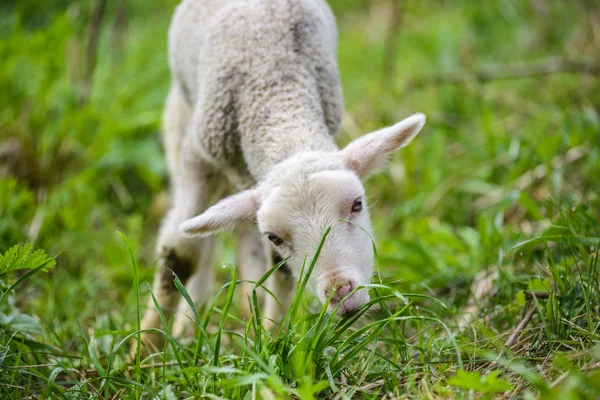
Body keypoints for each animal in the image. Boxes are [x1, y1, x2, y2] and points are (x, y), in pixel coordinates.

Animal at [138, 0, 424, 350]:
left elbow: (280, 270)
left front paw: (272, 336)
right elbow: (180, 255)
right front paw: (145, 347)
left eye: (358, 204)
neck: (275, 87)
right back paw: (188, 326)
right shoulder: (197, 157)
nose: (340, 293)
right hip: (180, 116)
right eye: (275, 236)